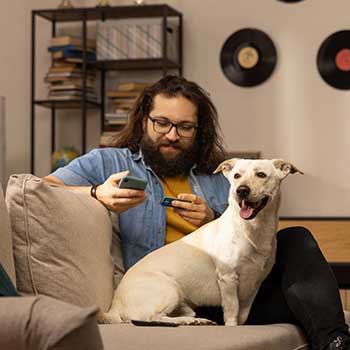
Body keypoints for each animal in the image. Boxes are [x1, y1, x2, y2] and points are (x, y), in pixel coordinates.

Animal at [99, 159, 304, 326]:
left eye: (261, 174)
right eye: (236, 176)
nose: (241, 191)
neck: (252, 231)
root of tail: (114, 307)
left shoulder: (254, 285)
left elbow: (243, 316)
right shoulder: (228, 279)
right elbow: (232, 313)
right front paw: (231, 328)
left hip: (184, 302)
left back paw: (196, 320)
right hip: (170, 290)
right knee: (150, 318)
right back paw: (183, 322)